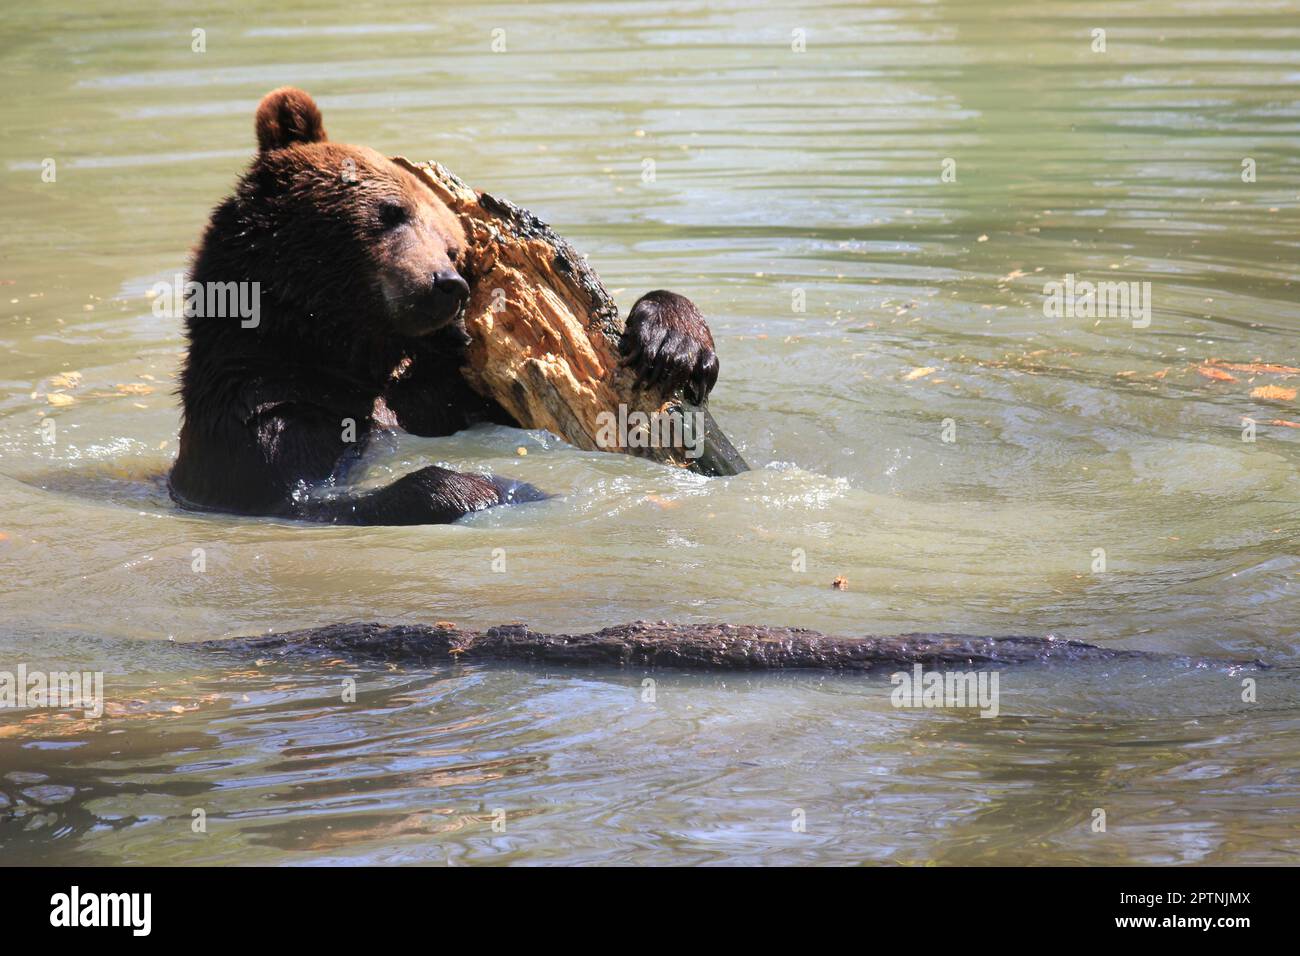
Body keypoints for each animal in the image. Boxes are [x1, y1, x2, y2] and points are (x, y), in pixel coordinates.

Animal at [169, 87, 722, 528]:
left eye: (453, 247)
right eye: (391, 212)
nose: (446, 283)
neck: (335, 352)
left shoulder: (449, 394)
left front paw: (672, 342)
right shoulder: (259, 413)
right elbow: (302, 495)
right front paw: (505, 487)